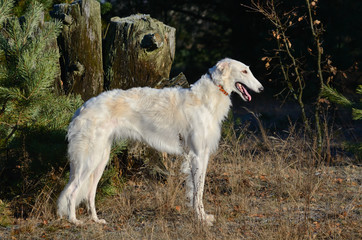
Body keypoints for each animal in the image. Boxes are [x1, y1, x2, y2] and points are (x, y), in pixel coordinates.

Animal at [58, 57, 264, 225]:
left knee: (89, 193)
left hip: (101, 158)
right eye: (244, 71)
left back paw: (96, 219)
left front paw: (202, 216)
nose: (261, 88)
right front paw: (200, 219)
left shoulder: (203, 155)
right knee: (73, 191)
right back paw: (74, 221)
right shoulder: (196, 155)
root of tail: (82, 108)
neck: (206, 98)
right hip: (89, 159)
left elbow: (197, 190)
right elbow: (198, 191)